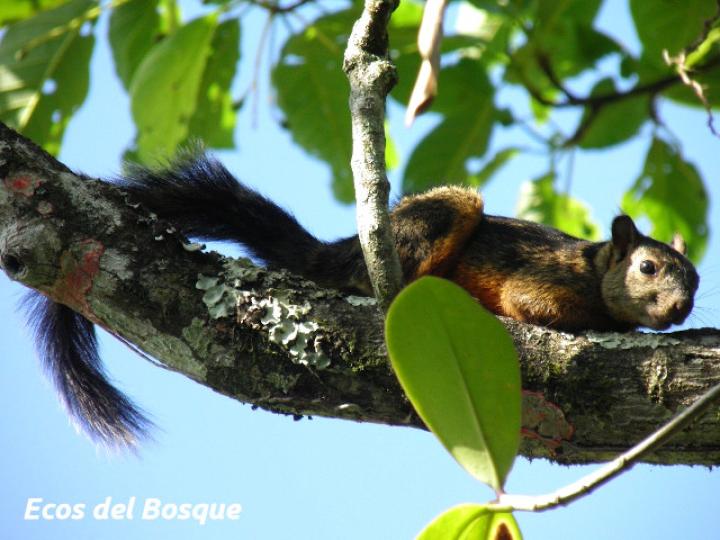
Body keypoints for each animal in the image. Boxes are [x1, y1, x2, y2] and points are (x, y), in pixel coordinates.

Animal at [23, 156, 699, 448]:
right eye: (647, 267)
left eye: (694, 280)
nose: (679, 310)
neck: (595, 272)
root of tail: (341, 253)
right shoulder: (541, 280)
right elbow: (534, 306)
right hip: (440, 218)